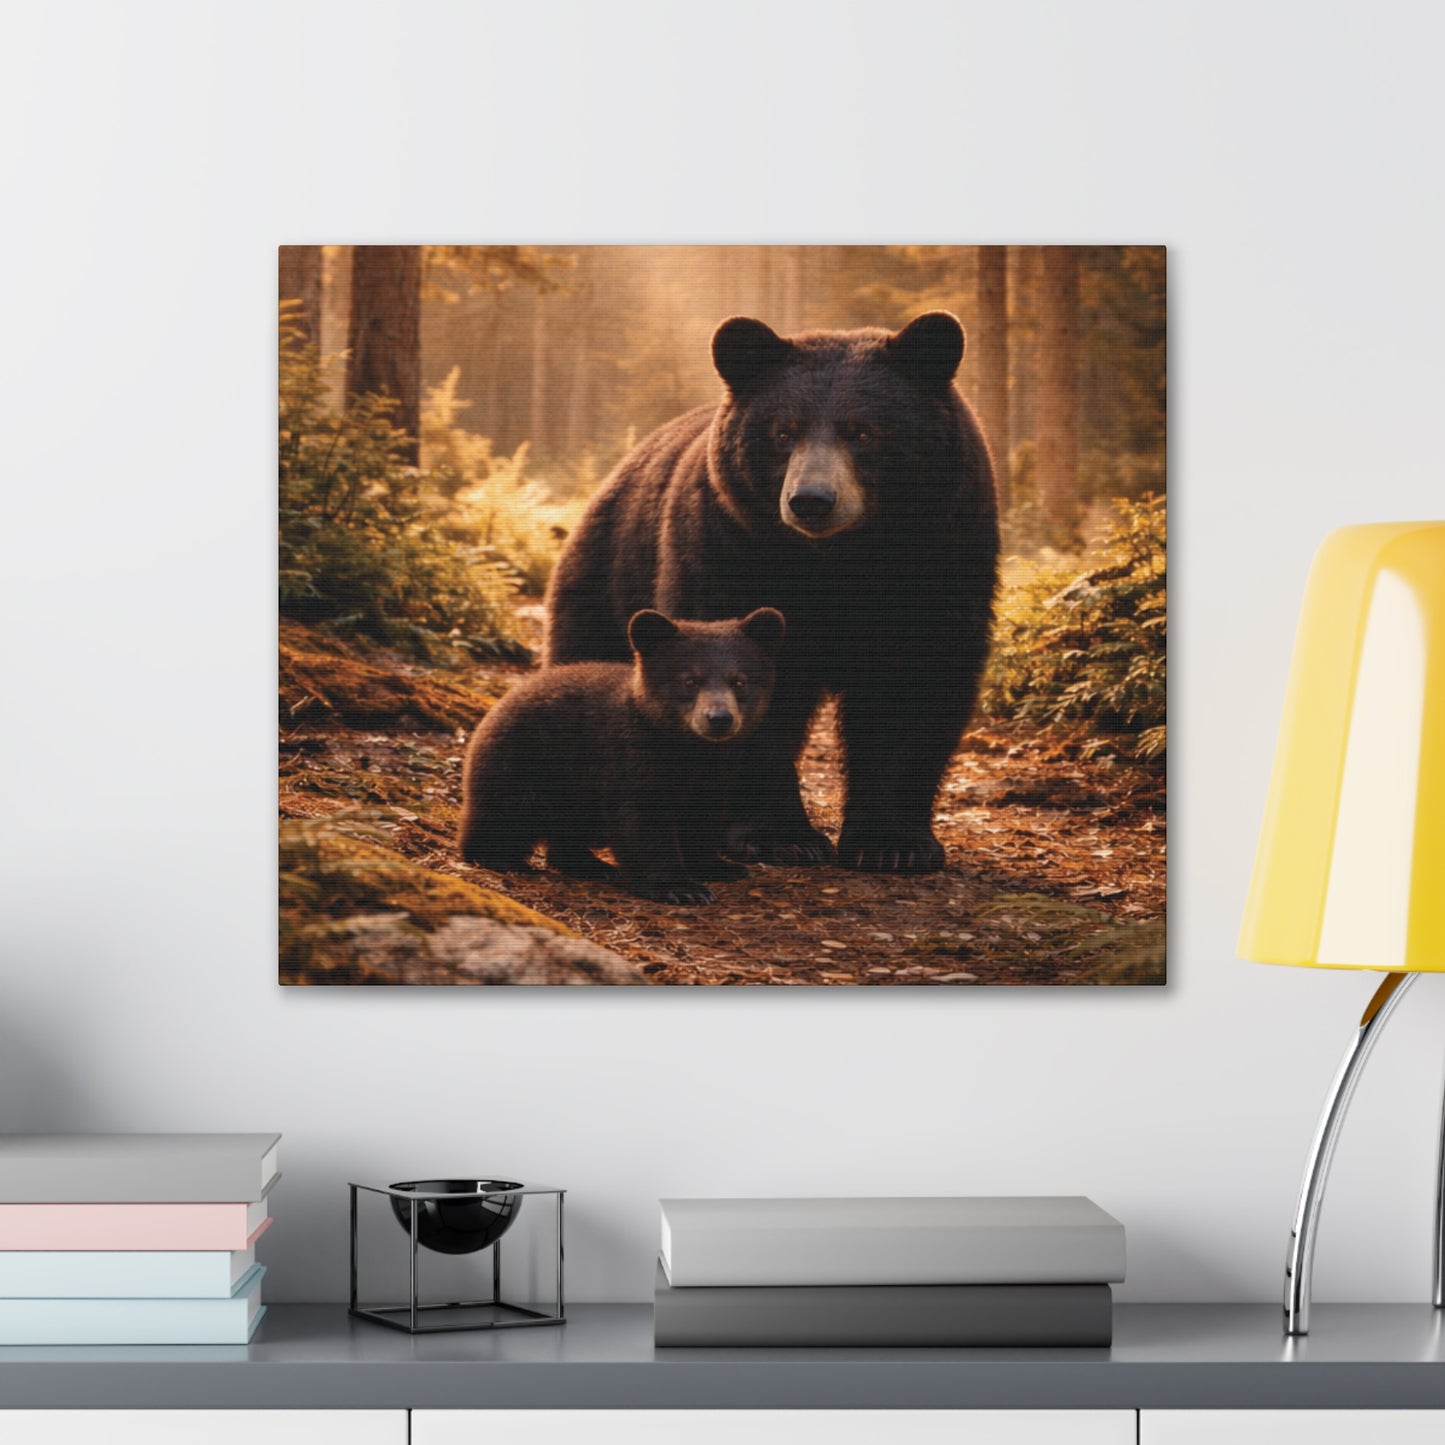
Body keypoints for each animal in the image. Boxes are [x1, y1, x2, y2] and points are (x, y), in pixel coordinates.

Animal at [458, 607, 786, 905]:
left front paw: (719, 866)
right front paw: (681, 887)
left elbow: (701, 817)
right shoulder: (631, 759)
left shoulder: (716, 773)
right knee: (505, 816)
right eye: (690, 680)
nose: (719, 719)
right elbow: (643, 822)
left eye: (739, 681)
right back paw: (504, 859)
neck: (686, 748)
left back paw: (591, 865)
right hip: (526, 764)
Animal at [544, 311, 1000, 873]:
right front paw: (781, 837)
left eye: (863, 431)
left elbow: (914, 683)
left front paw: (894, 844)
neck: (838, 562)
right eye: (784, 431)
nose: (811, 500)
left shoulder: (940, 559)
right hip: (608, 578)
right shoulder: (732, 550)